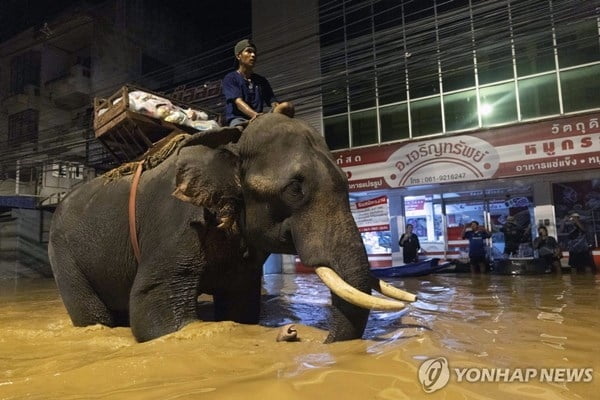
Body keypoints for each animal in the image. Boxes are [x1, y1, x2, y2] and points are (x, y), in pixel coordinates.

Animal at [48, 113, 418, 344]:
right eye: (295, 188)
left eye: (346, 181)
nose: (295, 335)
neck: (232, 141)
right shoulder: (176, 223)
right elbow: (155, 315)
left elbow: (240, 306)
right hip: (63, 255)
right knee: (93, 315)